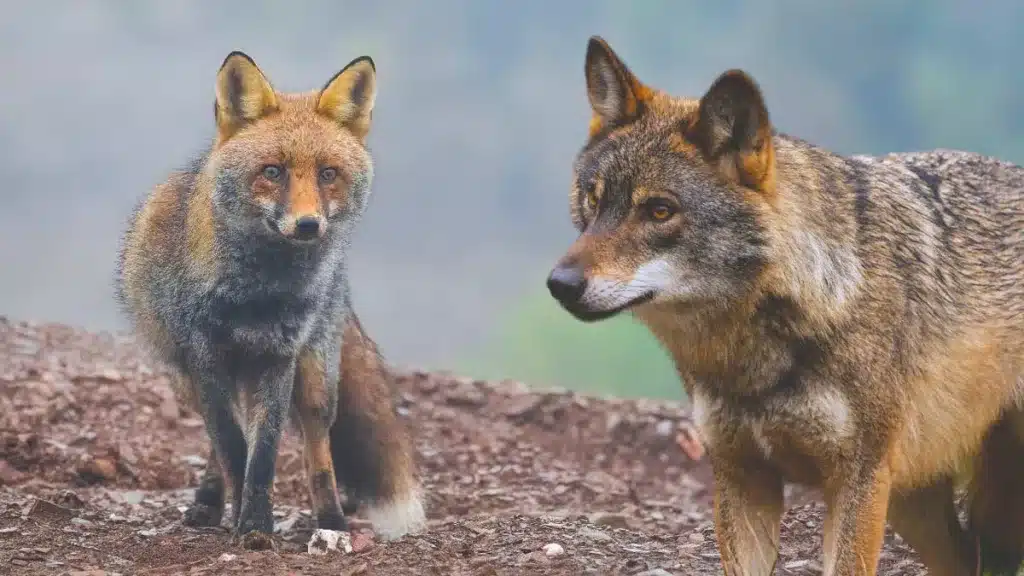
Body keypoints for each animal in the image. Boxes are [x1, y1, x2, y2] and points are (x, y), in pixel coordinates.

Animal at [114, 51, 425, 547]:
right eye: (272, 171)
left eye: (328, 174)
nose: (308, 225)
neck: (256, 296)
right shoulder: (206, 358)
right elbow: (231, 444)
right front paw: (246, 519)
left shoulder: (280, 357)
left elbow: (262, 454)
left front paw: (256, 526)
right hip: (187, 378)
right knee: (218, 438)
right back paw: (210, 502)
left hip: (316, 376)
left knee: (319, 445)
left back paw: (331, 521)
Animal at [547, 36, 1024, 576]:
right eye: (593, 200)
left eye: (660, 211)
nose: (560, 284)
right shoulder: (742, 478)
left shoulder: (857, 482)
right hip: (912, 498)